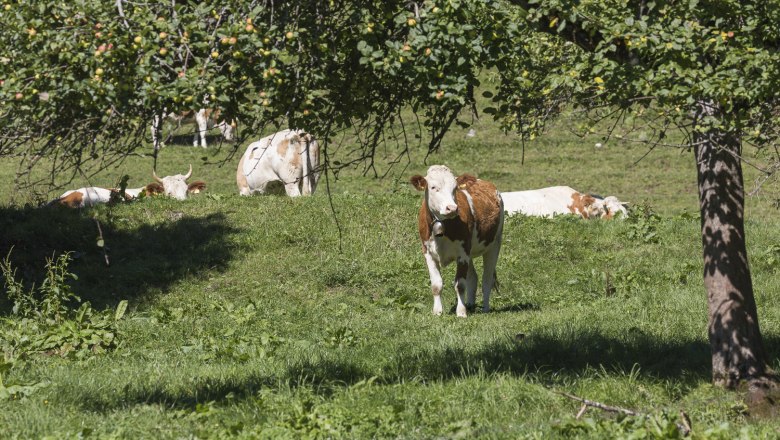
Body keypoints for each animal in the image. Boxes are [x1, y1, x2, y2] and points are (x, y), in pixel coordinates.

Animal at [408, 165, 506, 316]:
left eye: (455, 188)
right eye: (433, 187)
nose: (452, 208)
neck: (442, 224)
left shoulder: (463, 253)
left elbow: (460, 285)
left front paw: (461, 312)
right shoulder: (428, 252)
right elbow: (436, 284)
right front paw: (437, 311)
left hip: (494, 244)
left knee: (487, 279)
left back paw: (485, 308)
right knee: (473, 277)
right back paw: (470, 305)